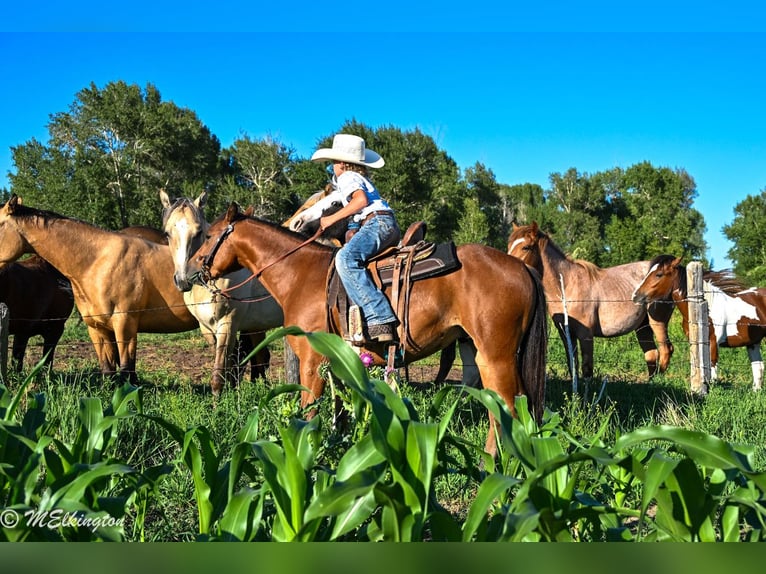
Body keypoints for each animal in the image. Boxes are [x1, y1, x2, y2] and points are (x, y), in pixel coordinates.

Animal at [160, 189, 284, 394]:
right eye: (167, 233)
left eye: (199, 232)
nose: (183, 280)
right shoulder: (207, 328)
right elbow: (230, 365)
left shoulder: (228, 324)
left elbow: (219, 372)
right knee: (261, 358)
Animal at [182, 202, 548, 455]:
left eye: (209, 236)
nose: (185, 275)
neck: (301, 274)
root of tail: (521, 268)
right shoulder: (339, 362)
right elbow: (338, 414)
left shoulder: (312, 362)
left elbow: (308, 413)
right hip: (474, 351)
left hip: (496, 357)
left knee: (508, 407)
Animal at [507, 222, 675, 380]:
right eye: (509, 245)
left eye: (526, 247)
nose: (512, 266)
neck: (566, 286)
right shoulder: (566, 333)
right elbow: (572, 364)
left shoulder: (585, 334)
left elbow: (587, 368)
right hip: (642, 326)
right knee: (652, 354)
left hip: (657, 321)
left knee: (665, 350)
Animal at [632, 254, 766, 391]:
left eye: (659, 274)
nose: (635, 296)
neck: (706, 306)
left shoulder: (713, 342)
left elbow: (712, 371)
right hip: (753, 343)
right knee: (758, 368)